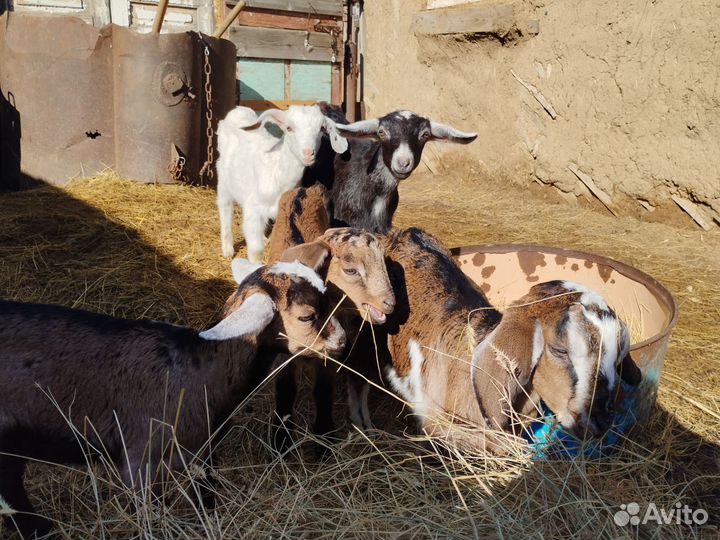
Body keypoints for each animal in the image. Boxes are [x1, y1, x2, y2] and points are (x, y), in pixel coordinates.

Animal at [0, 247, 345, 539]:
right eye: (307, 316)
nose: (343, 341)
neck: (200, 365)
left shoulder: (203, 454)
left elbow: (207, 496)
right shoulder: (140, 459)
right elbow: (149, 512)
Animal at [216, 104, 348, 262]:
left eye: (321, 128)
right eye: (289, 128)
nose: (308, 153)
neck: (276, 171)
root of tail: (238, 110)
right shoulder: (253, 210)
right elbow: (256, 250)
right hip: (223, 182)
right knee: (225, 209)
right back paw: (227, 250)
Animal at [240, 185, 396, 452]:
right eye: (351, 270)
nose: (390, 303)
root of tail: (305, 188)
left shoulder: (333, 352)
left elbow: (323, 391)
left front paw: (324, 438)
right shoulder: (283, 352)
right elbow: (286, 390)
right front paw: (281, 439)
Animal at [347, 228, 643, 453]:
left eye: (618, 356)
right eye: (559, 350)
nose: (602, 420)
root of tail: (401, 233)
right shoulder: (435, 421)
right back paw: (365, 428)